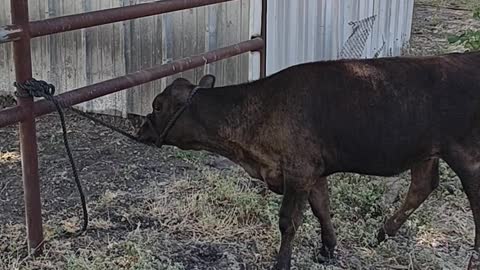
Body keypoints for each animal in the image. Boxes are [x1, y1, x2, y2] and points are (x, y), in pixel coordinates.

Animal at [134, 51, 480, 268]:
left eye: (157, 105)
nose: (141, 129)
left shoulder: (299, 171)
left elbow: (288, 221)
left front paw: (282, 263)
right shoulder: (313, 171)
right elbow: (322, 208)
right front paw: (328, 249)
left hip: (467, 157)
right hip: (426, 150)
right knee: (424, 185)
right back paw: (383, 232)